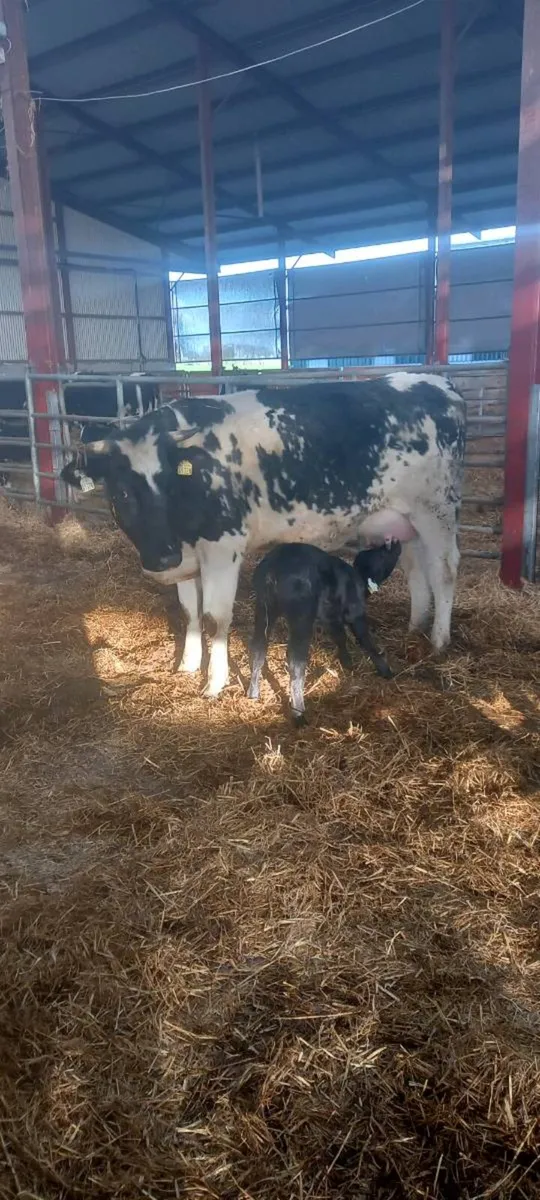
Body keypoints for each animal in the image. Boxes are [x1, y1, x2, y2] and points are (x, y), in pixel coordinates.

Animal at [61, 373, 466, 698]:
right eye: (121, 493)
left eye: (170, 485)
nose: (162, 557)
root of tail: (438, 383)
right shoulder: (188, 557)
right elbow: (189, 611)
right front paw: (188, 665)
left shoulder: (223, 547)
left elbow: (215, 618)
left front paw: (215, 681)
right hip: (404, 522)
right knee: (417, 572)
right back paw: (415, 625)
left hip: (437, 511)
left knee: (444, 572)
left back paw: (438, 639)